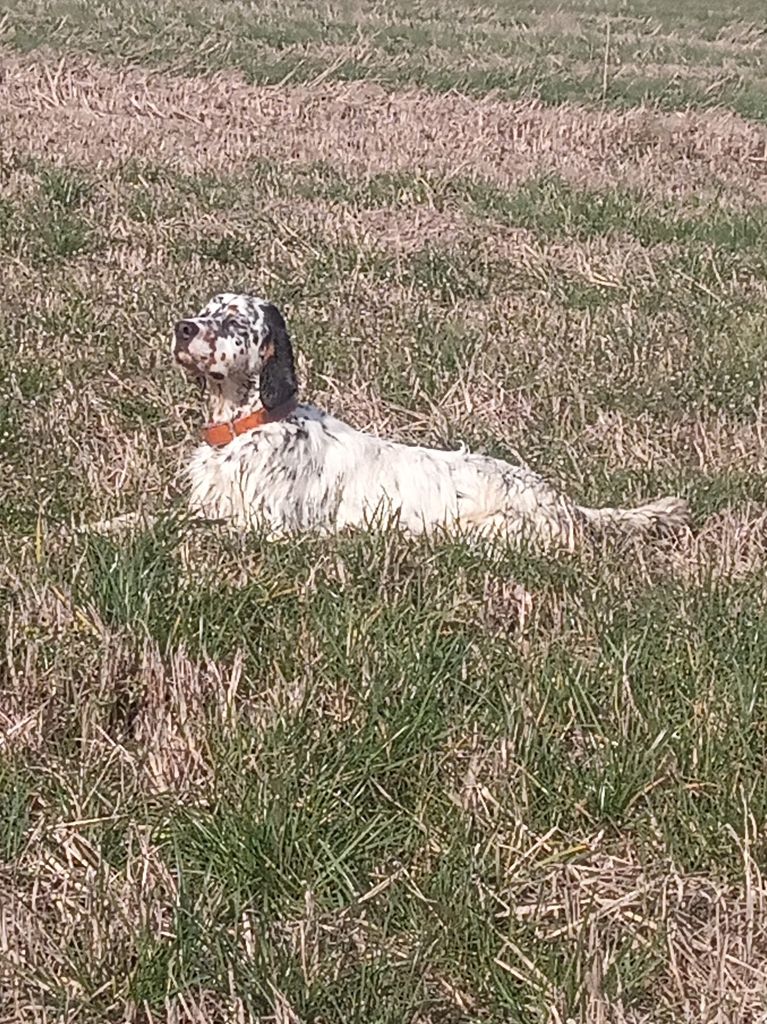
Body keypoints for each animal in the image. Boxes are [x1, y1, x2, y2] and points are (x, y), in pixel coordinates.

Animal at [171, 292, 692, 548]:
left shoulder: (270, 526)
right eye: (203, 310)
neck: (248, 425)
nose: (182, 327)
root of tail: (566, 503)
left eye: (235, 322)